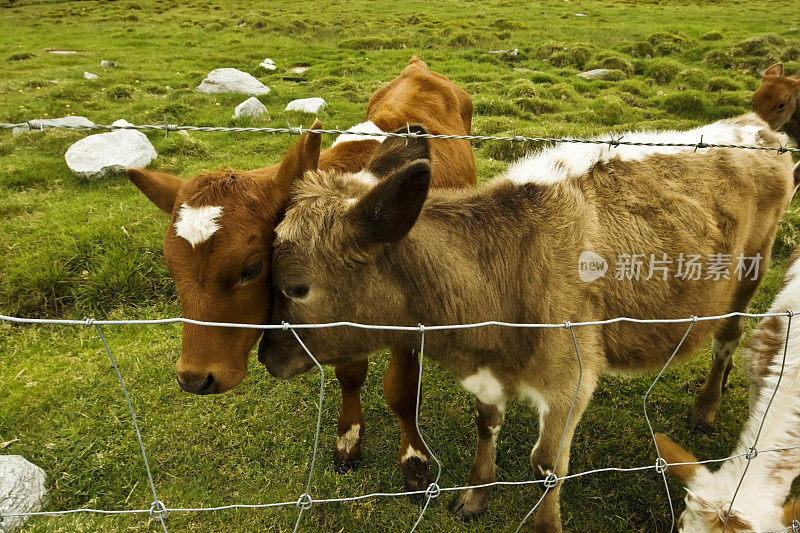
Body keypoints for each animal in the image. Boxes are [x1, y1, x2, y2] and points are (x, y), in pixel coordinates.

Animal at [126, 57, 476, 490]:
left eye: (252, 268)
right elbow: (350, 373)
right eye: (171, 266)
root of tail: (418, 67)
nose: (194, 378)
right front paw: (348, 439)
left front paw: (413, 457)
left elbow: (402, 389)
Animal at [260, 114, 792, 528]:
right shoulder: (488, 372)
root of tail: (755, 127)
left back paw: (706, 407)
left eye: (296, 287)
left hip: (751, 274)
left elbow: (546, 467)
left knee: (728, 339)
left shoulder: (571, 378)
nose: (266, 356)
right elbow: (486, 424)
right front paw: (475, 496)